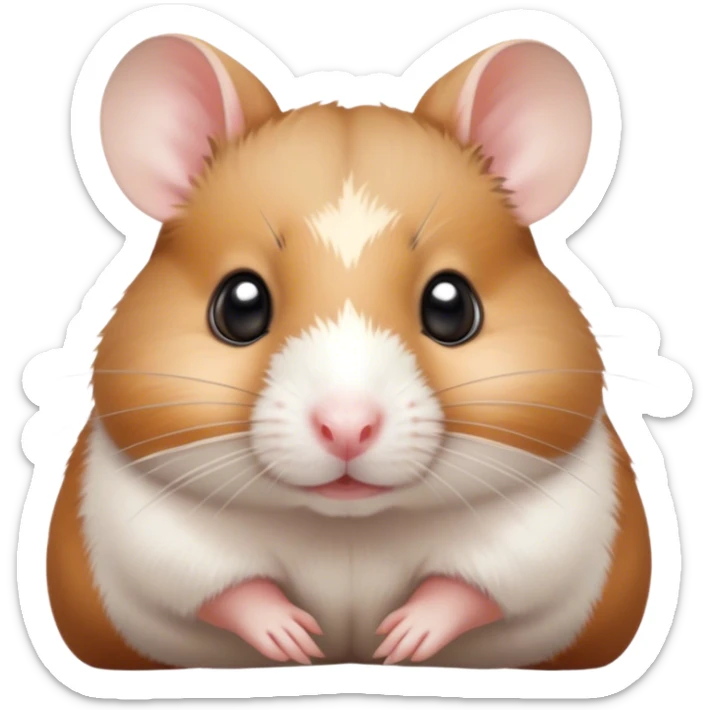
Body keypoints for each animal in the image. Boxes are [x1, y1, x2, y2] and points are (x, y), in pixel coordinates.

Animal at [47, 34, 651, 671]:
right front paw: (296, 641)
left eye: (452, 305)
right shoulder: (151, 534)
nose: (345, 429)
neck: (348, 527)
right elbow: (227, 589)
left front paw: (400, 642)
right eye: (238, 304)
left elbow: (472, 588)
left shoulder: (550, 529)